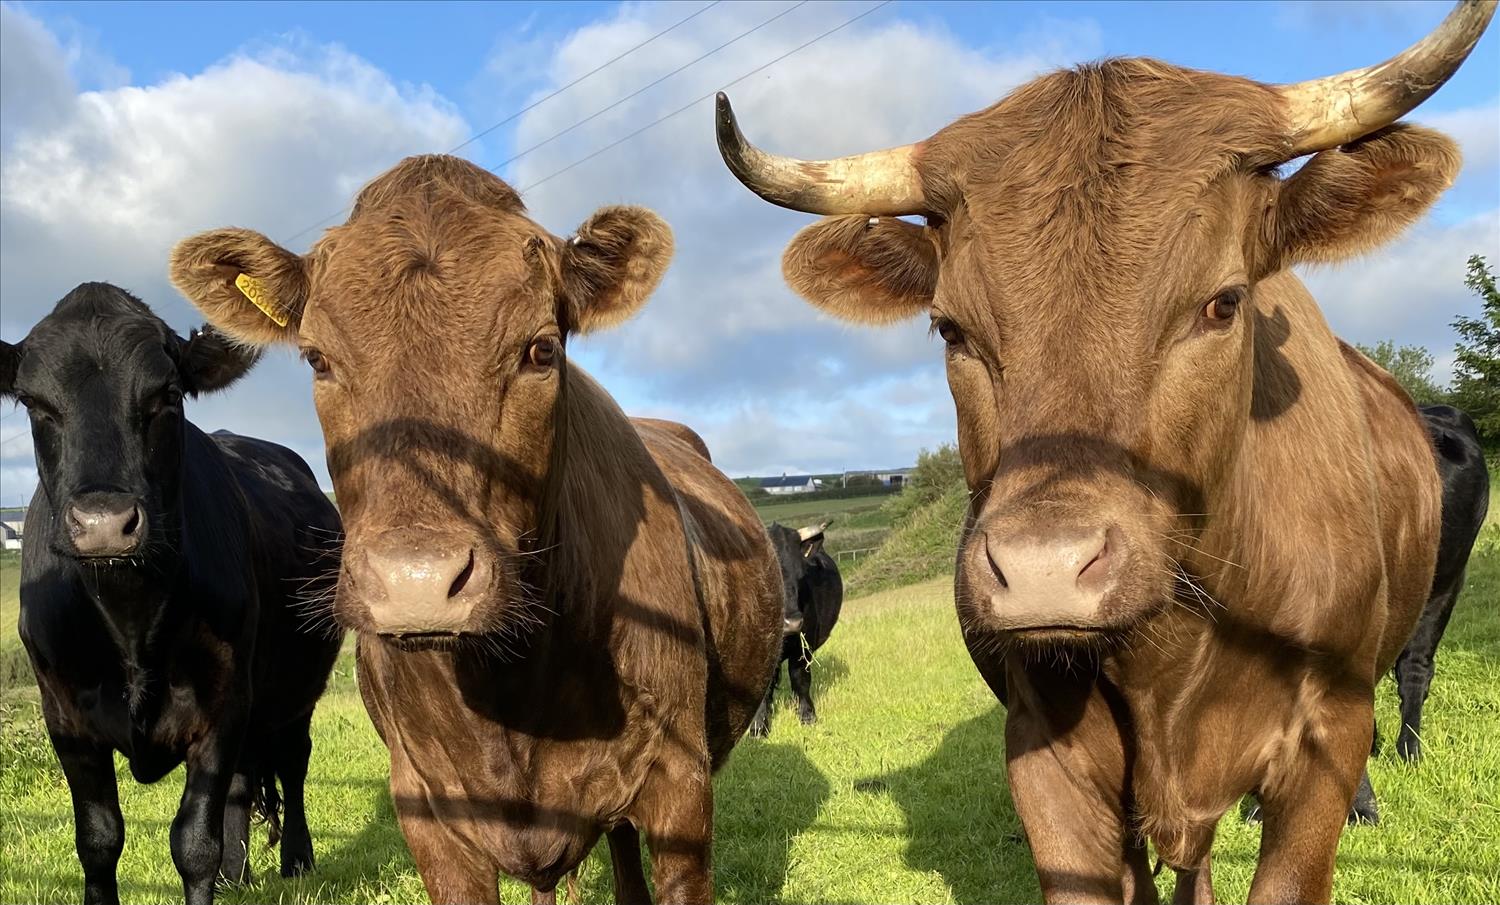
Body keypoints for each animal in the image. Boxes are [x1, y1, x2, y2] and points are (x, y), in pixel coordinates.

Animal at [0, 285, 343, 905]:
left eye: (168, 395)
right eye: (36, 404)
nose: (104, 523)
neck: (130, 619)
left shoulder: (223, 704)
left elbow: (194, 843)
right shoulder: (64, 716)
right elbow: (98, 840)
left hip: (298, 685)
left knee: (292, 760)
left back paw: (298, 861)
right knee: (244, 783)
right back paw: (238, 874)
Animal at [750, 525, 846, 735]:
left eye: (801, 575)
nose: (792, 623)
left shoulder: (804, 646)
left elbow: (800, 679)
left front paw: (807, 716)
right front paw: (758, 727)